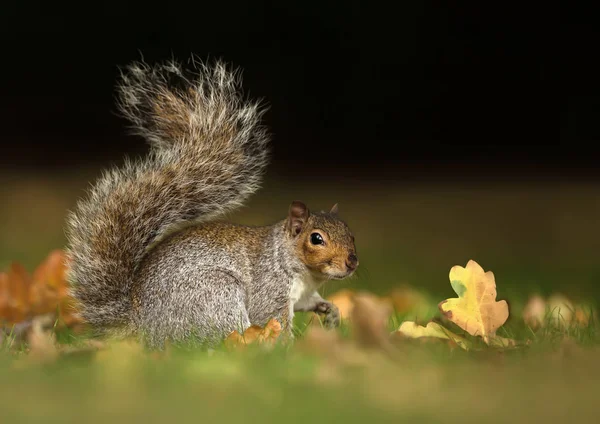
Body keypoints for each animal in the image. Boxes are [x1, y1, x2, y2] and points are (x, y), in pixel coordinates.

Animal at [63, 56, 358, 348]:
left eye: (350, 233)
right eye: (316, 239)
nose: (352, 261)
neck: (300, 269)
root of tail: (141, 326)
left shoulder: (303, 293)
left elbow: (311, 302)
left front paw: (330, 311)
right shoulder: (271, 288)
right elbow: (273, 318)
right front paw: (289, 347)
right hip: (215, 294)